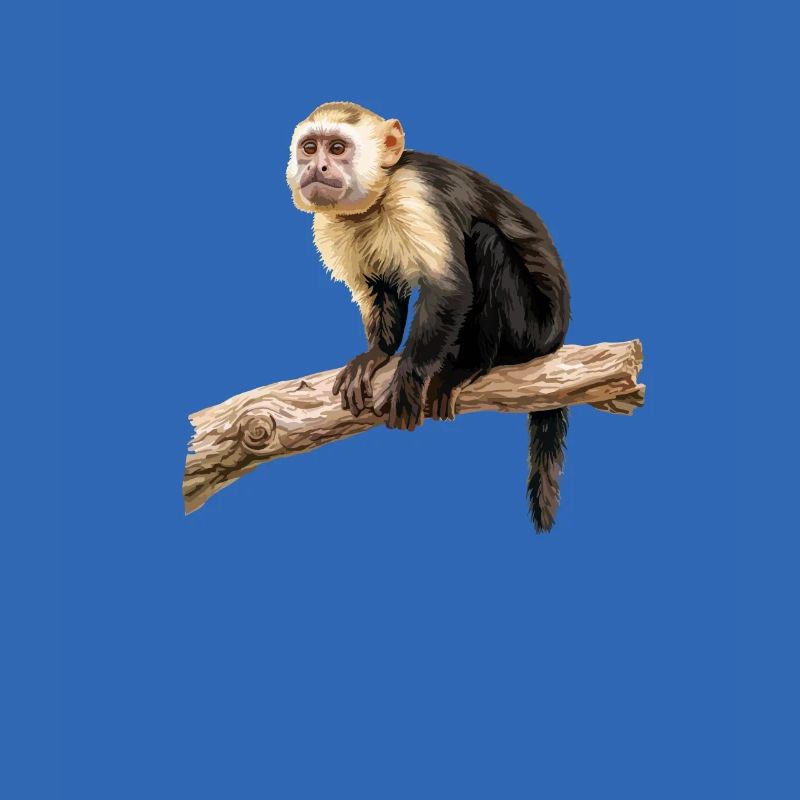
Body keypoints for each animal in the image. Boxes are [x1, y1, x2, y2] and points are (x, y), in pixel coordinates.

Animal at [286, 102, 571, 532]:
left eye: (336, 148)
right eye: (309, 148)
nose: (316, 167)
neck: (378, 196)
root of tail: (558, 337)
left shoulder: (415, 194)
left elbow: (449, 287)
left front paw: (409, 375)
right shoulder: (333, 225)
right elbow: (380, 288)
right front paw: (378, 354)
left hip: (534, 330)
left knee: (486, 243)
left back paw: (471, 364)